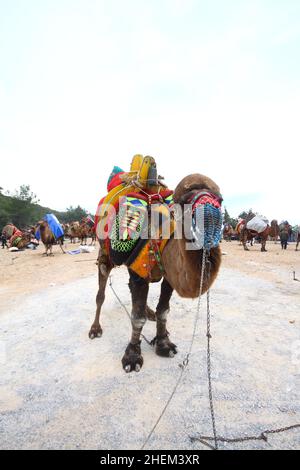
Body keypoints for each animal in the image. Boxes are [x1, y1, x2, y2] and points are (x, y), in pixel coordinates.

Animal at [89, 156, 223, 372]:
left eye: (220, 199)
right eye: (184, 200)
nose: (210, 220)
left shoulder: (169, 277)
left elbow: (163, 310)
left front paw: (163, 343)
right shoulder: (138, 272)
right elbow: (136, 317)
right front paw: (132, 356)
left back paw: (149, 313)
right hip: (105, 254)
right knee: (101, 291)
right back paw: (95, 328)